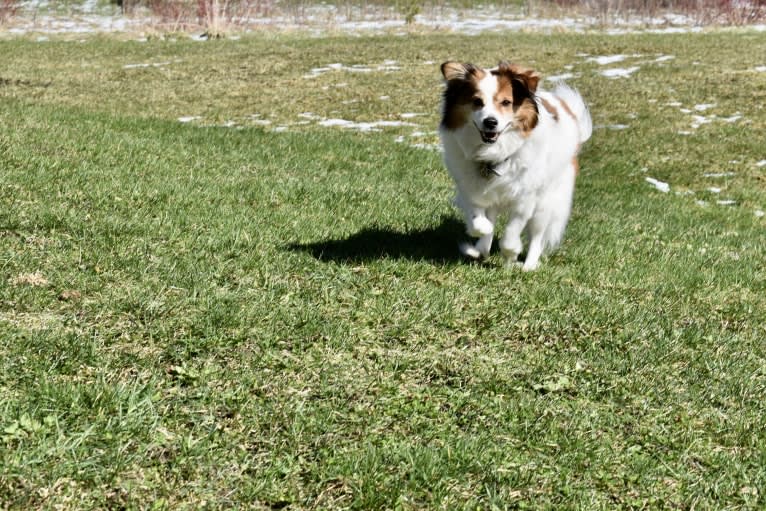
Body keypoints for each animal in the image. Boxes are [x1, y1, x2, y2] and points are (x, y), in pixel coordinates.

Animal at [438, 60, 592, 272]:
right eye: (477, 101)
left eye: (506, 102)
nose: (490, 122)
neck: (494, 154)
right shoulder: (472, 190)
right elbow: (478, 220)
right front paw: (481, 236)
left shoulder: (525, 201)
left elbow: (510, 235)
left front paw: (511, 256)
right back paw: (479, 250)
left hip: (546, 203)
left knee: (537, 237)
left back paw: (529, 265)